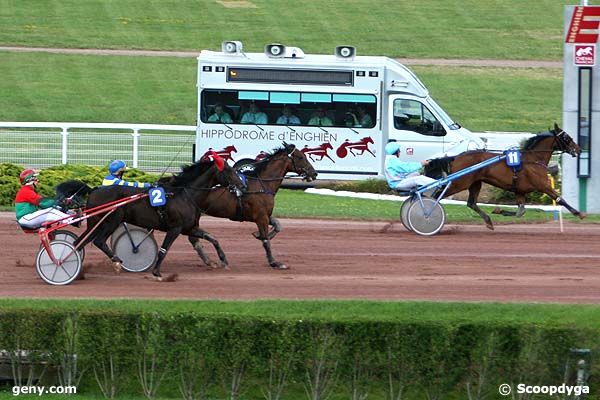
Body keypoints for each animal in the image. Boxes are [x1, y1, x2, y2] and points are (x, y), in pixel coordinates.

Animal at [73, 155, 246, 280]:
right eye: (228, 171)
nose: (242, 186)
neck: (185, 195)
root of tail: (94, 190)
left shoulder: (189, 228)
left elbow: (213, 238)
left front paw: (223, 260)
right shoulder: (175, 228)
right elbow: (164, 250)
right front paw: (156, 272)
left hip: (95, 223)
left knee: (79, 242)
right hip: (112, 220)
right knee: (98, 241)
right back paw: (116, 261)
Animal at [192, 142, 318, 270]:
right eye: (300, 157)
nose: (314, 173)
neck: (262, 184)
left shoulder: (263, 215)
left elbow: (277, 225)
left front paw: (259, 234)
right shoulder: (261, 216)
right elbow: (266, 240)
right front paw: (274, 262)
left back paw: (208, 260)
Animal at [422, 123, 584, 230]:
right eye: (567, 137)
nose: (579, 149)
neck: (534, 159)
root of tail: (456, 157)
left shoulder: (520, 191)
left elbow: (521, 211)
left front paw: (497, 210)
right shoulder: (543, 185)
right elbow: (560, 199)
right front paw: (579, 213)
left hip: (476, 183)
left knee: (471, 203)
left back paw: (488, 221)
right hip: (460, 182)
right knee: (437, 195)